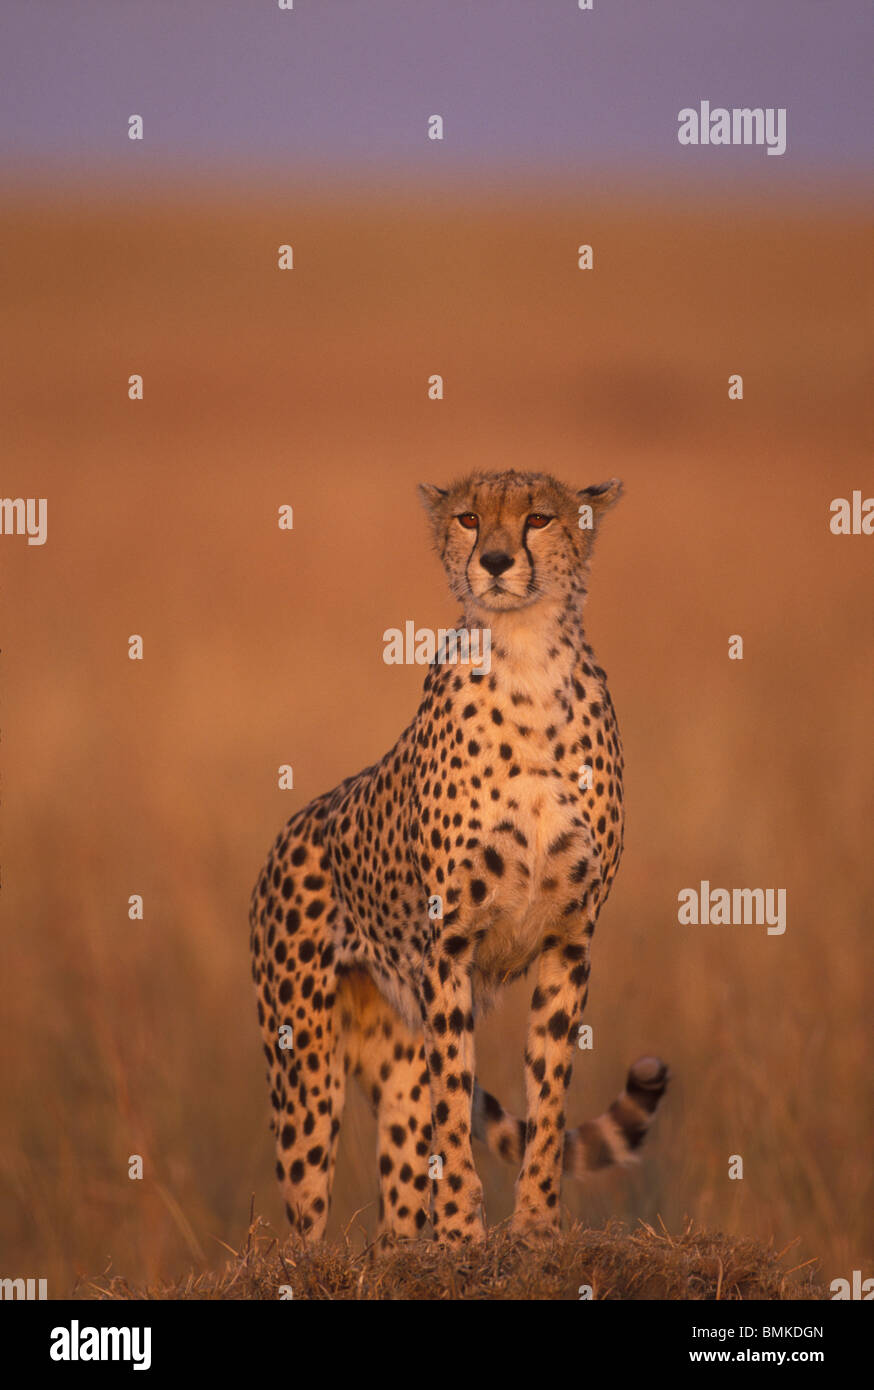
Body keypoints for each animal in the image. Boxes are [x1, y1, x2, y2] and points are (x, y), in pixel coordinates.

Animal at [250, 472, 666, 1245]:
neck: (527, 658)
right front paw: (463, 1235)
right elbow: (455, 1097)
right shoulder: (447, 945)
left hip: (394, 1052)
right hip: (307, 1065)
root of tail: (293, 824)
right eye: (470, 518)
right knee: (308, 1205)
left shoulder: (570, 938)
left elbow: (548, 1092)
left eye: (539, 519)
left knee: (400, 1192)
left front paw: (533, 1223)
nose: (497, 561)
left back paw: (405, 1247)